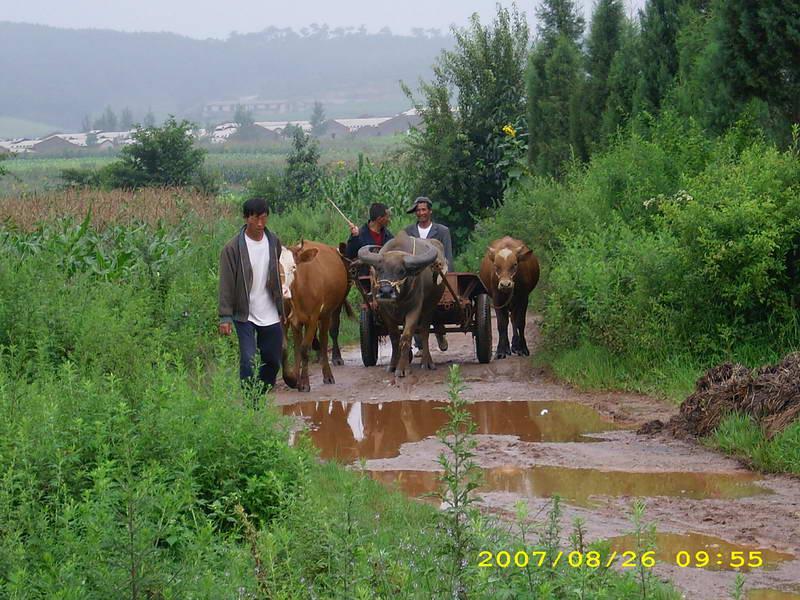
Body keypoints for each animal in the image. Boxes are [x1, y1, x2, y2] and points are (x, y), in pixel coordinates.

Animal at [282, 241, 354, 392]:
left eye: (293, 266)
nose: (282, 289)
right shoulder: (291, 320)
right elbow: (290, 348)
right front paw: (292, 379)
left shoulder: (313, 318)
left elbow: (304, 349)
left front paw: (304, 383)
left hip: (328, 313)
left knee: (326, 338)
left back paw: (328, 374)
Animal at [360, 231, 446, 376]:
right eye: (380, 269)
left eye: (401, 271)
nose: (386, 292)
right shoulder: (384, 310)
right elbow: (395, 337)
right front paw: (393, 365)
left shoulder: (414, 309)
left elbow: (406, 337)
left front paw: (402, 369)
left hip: (430, 307)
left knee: (424, 332)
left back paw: (427, 362)